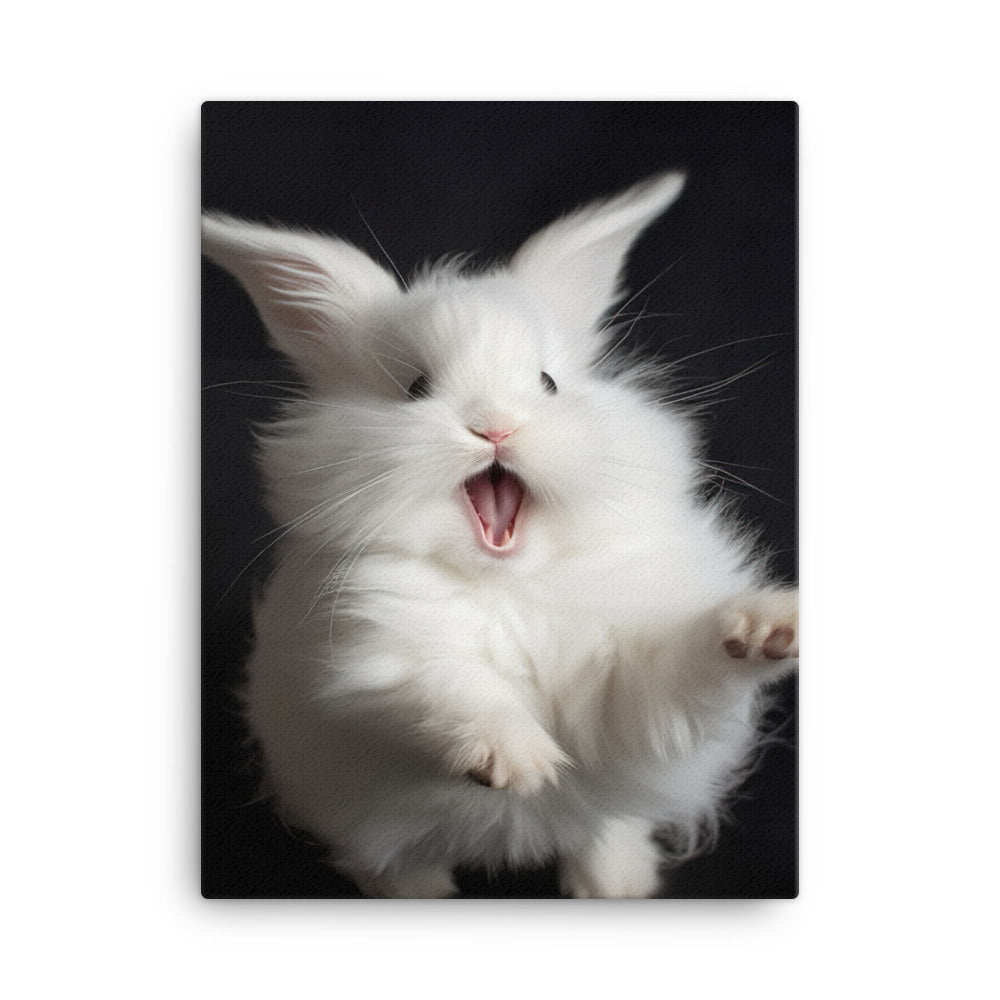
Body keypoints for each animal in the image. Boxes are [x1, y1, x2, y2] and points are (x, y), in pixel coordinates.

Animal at [201, 172, 798, 898]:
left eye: (547, 383)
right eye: (415, 387)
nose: (495, 427)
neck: (508, 583)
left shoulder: (630, 690)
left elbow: (681, 665)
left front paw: (766, 628)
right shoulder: (366, 664)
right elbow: (446, 689)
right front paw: (517, 762)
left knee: (602, 827)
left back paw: (616, 881)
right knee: (388, 859)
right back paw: (422, 891)